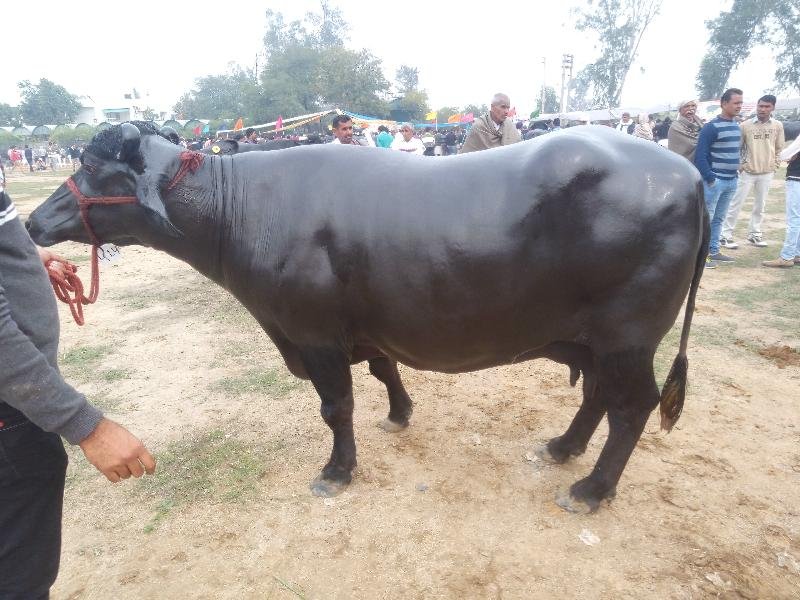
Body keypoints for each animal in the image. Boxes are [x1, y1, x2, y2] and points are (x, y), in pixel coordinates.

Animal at [27, 121, 708, 513]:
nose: (33, 221)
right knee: (596, 395)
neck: (239, 208)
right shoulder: (361, 327)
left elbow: (337, 406)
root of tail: (689, 175)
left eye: (94, 167)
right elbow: (384, 371)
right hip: (594, 339)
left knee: (630, 408)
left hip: (629, 338)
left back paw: (591, 489)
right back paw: (563, 448)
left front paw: (337, 471)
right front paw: (401, 414)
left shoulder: (313, 334)